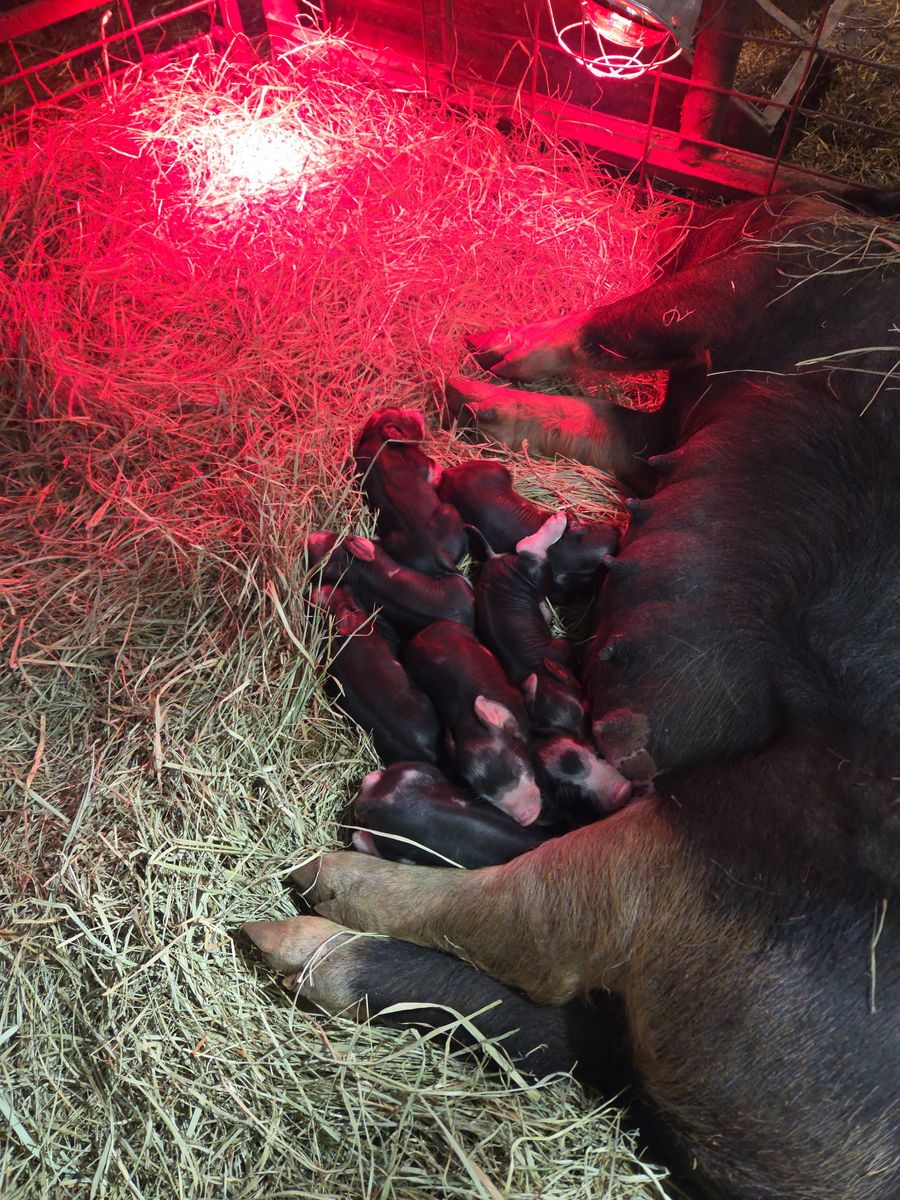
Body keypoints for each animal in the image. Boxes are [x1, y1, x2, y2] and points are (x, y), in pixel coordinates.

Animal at [352, 408, 467, 574]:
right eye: (403, 415)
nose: (417, 412)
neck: (376, 438)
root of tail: (437, 552)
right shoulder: (423, 463)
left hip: (394, 539)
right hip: (449, 510)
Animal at [403, 621, 542, 826]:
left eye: (518, 767)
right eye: (485, 798)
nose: (527, 818)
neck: (470, 726)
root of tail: (424, 631)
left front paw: (533, 679)